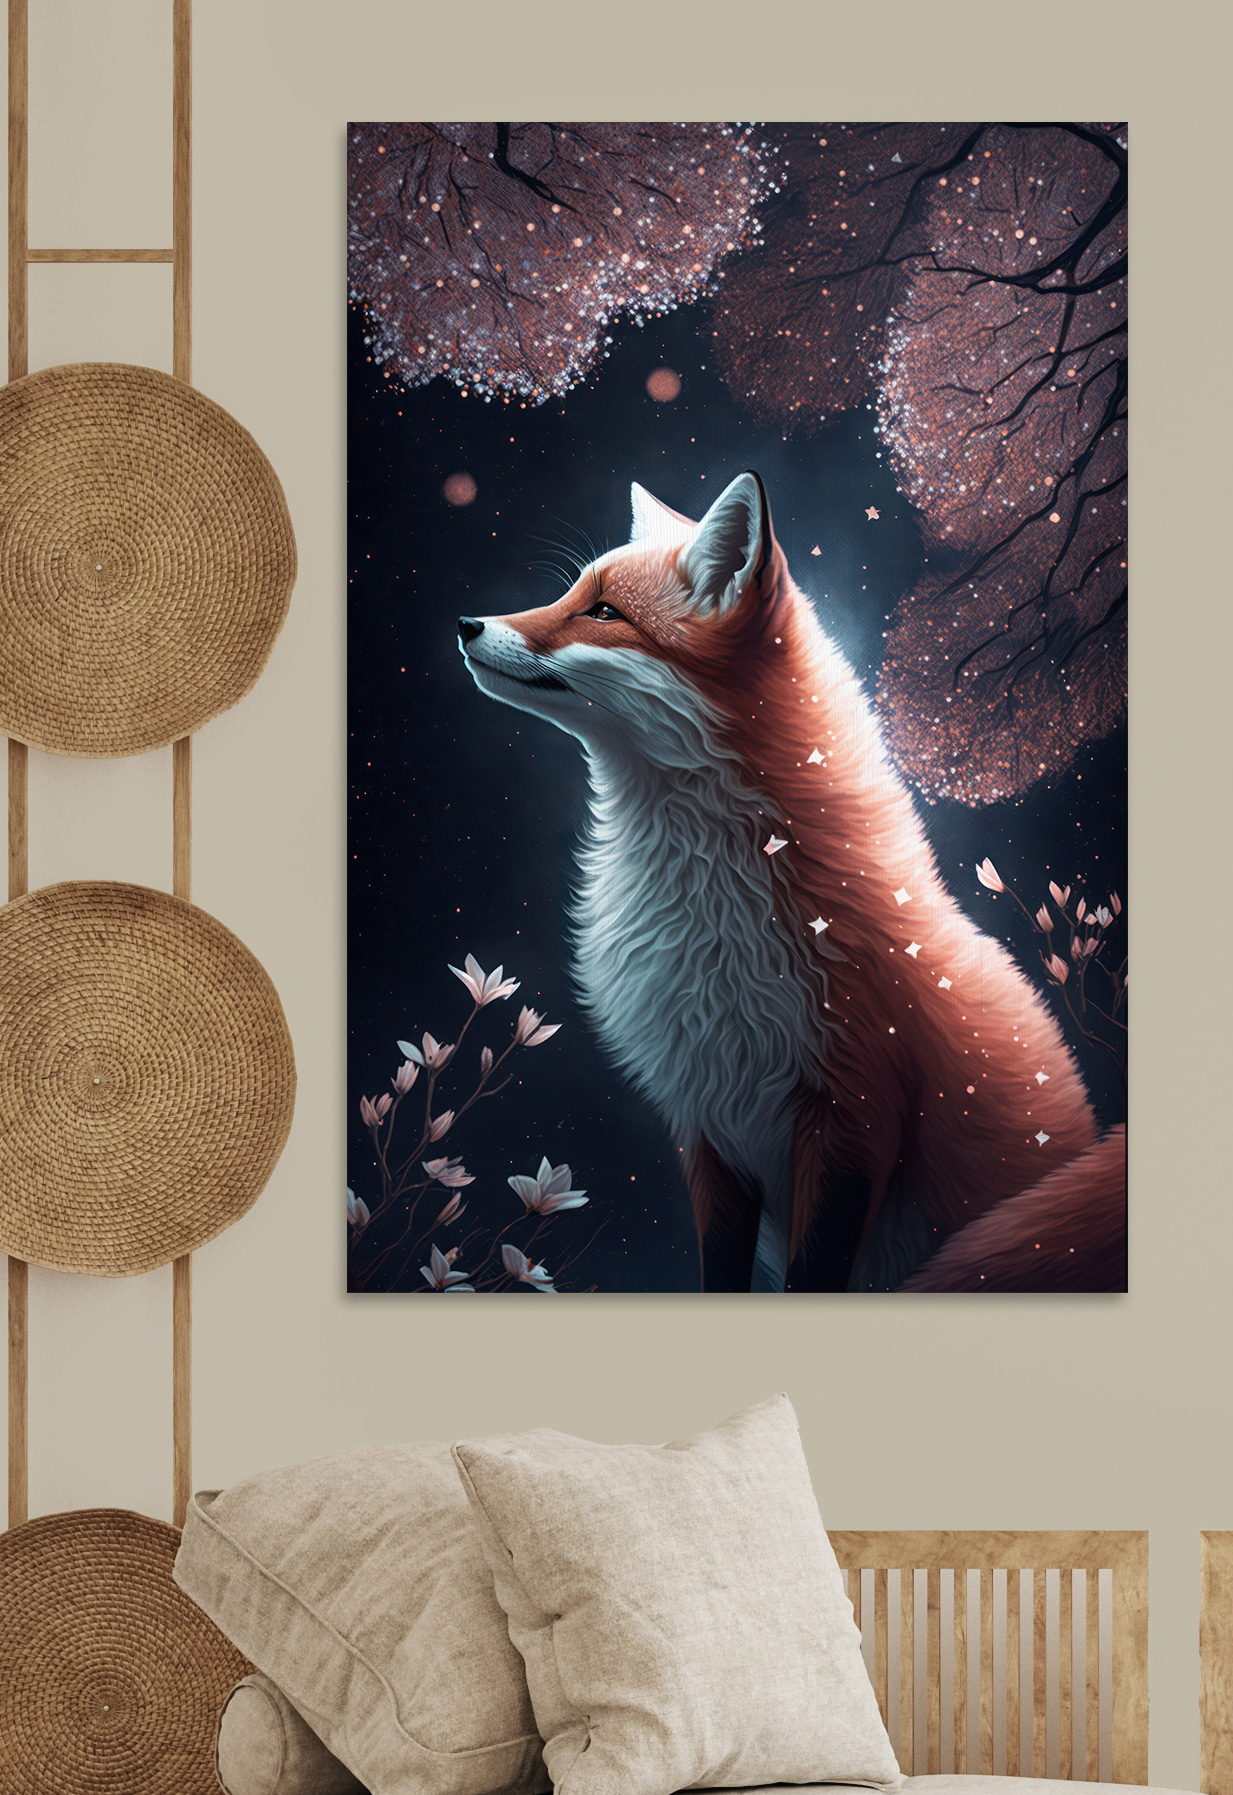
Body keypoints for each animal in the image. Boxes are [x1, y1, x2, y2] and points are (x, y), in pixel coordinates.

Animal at [457, 471, 1127, 1292]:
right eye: (571, 593)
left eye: (604, 613)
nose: (466, 623)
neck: (710, 921)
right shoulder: (708, 1125)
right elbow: (720, 1273)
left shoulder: (854, 1120)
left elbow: (814, 1272)